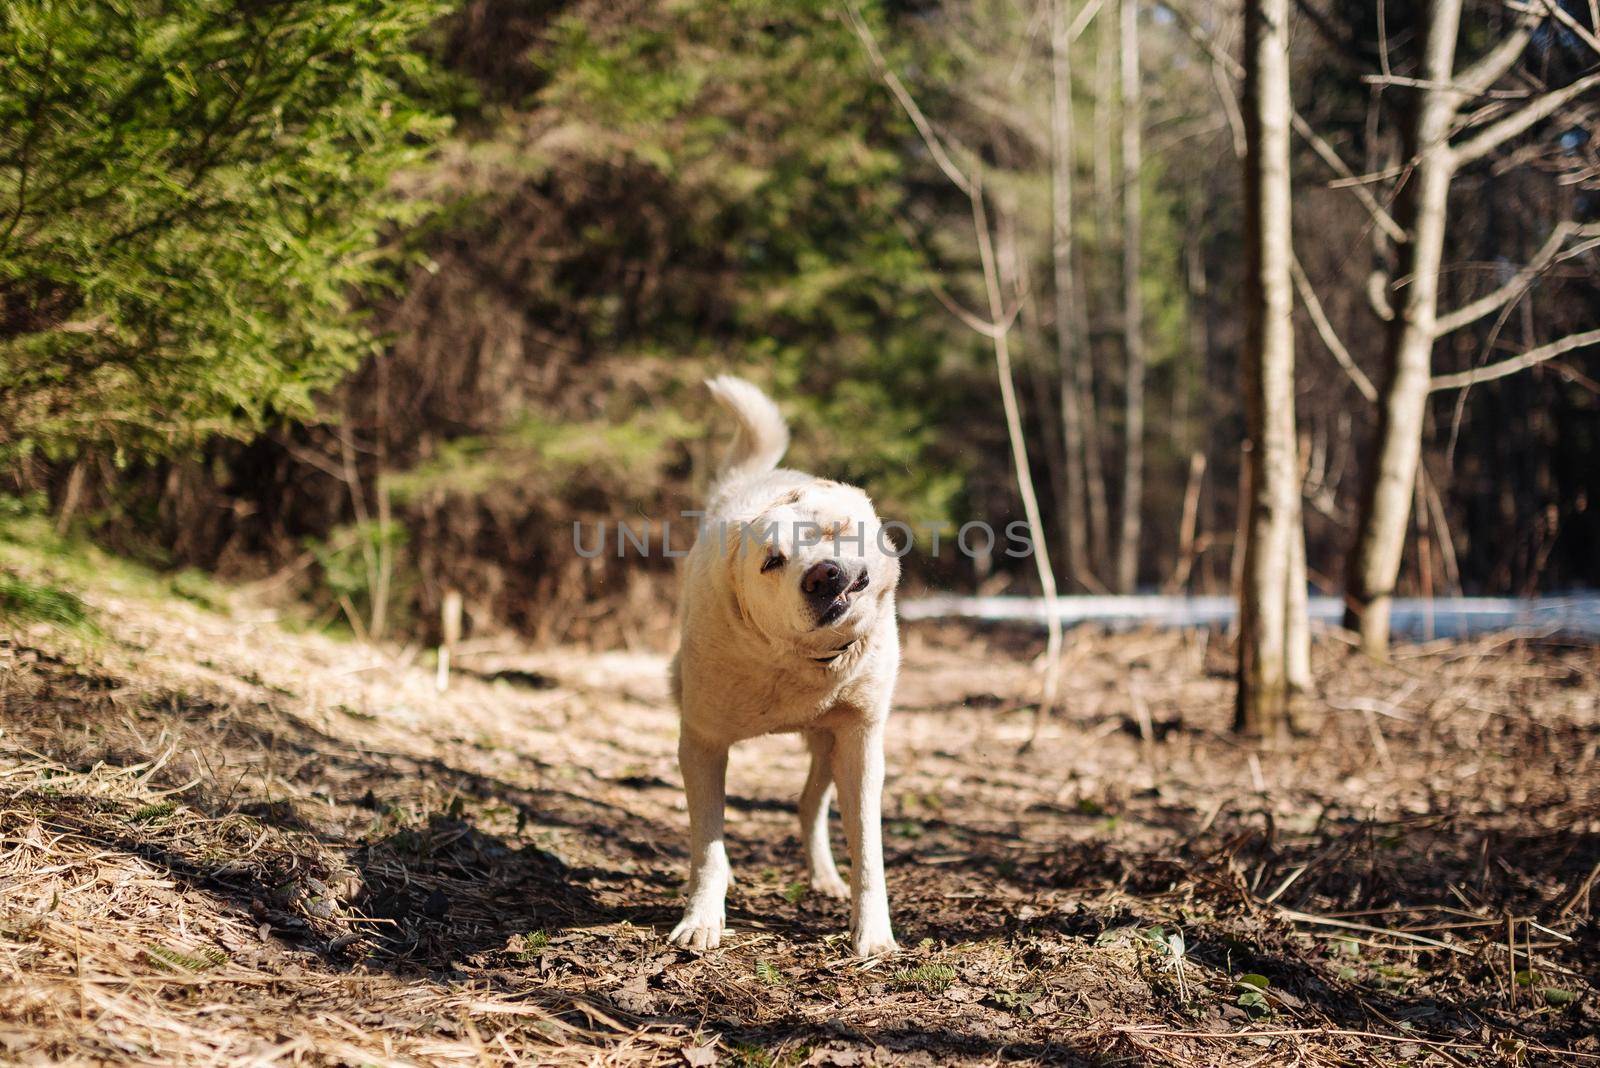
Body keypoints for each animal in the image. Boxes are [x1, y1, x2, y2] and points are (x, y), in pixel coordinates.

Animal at [662, 377, 902, 959]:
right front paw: (701, 921)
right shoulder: (701, 742)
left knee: (808, 802)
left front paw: (872, 934)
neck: (796, 662)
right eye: (771, 562)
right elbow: (708, 844)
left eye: (835, 530)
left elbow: (868, 848)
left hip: (831, 741)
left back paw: (825, 878)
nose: (822, 575)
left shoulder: (861, 739)